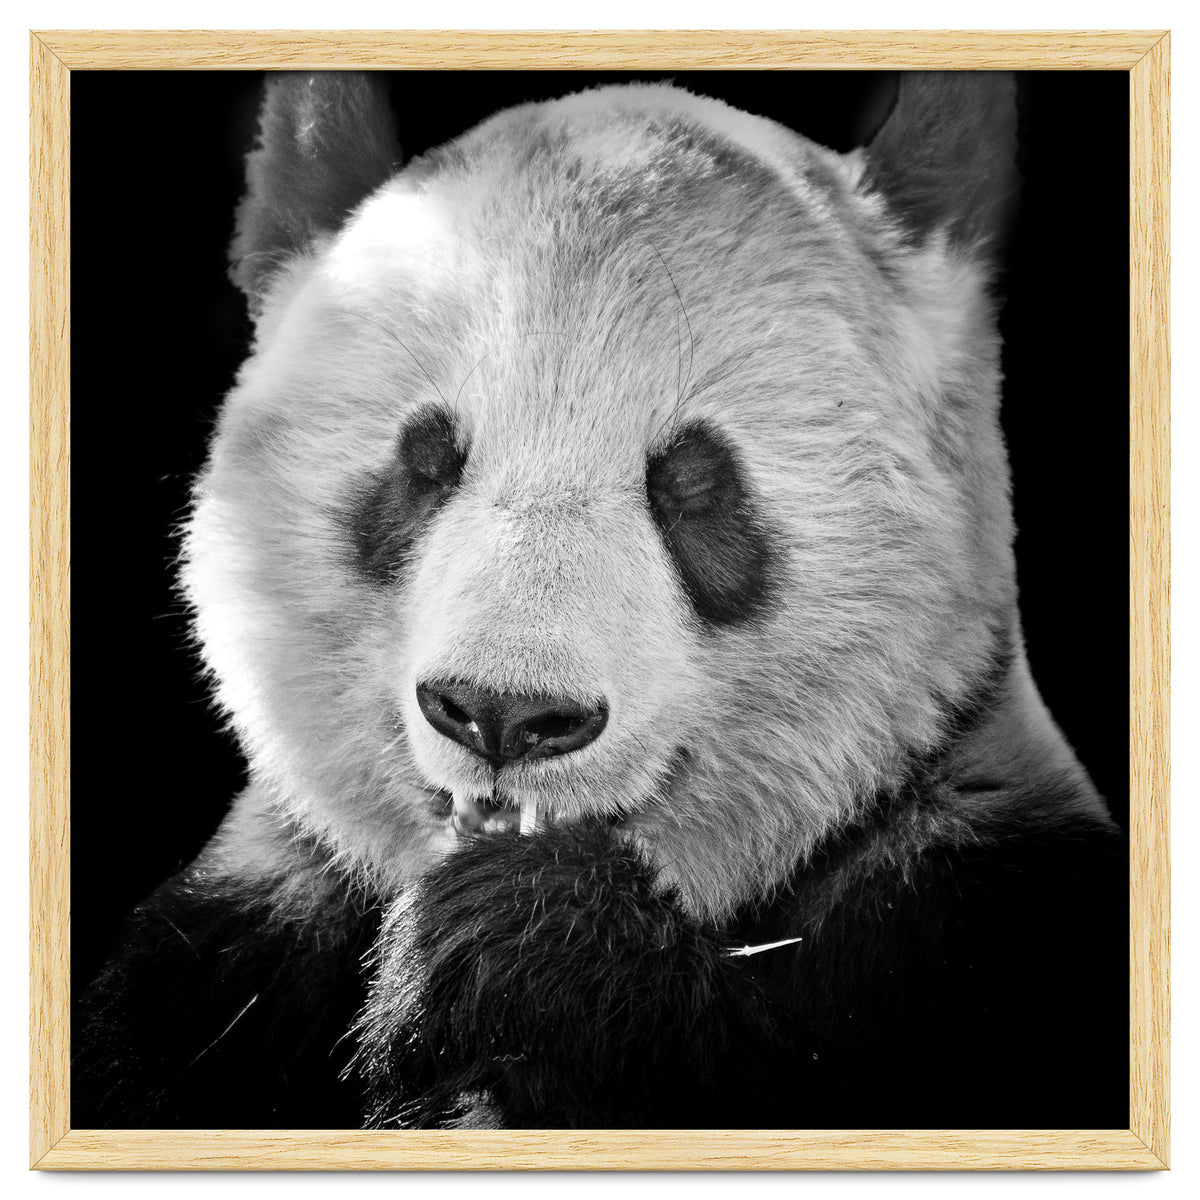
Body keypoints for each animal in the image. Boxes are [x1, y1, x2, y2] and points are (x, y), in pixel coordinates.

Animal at [74, 72, 1127, 1131]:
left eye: (693, 484)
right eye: (426, 462)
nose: (504, 714)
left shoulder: (976, 912)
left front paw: (525, 943)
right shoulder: (228, 953)